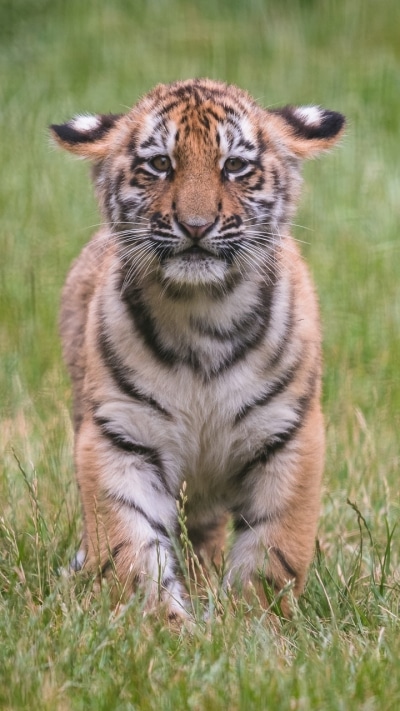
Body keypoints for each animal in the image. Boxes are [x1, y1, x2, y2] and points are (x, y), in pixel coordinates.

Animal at [51, 78, 345, 619]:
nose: (195, 225)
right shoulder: (119, 434)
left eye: (234, 166)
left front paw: (252, 622)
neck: (202, 310)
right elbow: (129, 545)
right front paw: (159, 623)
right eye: (160, 164)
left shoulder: (290, 433)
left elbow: (275, 546)